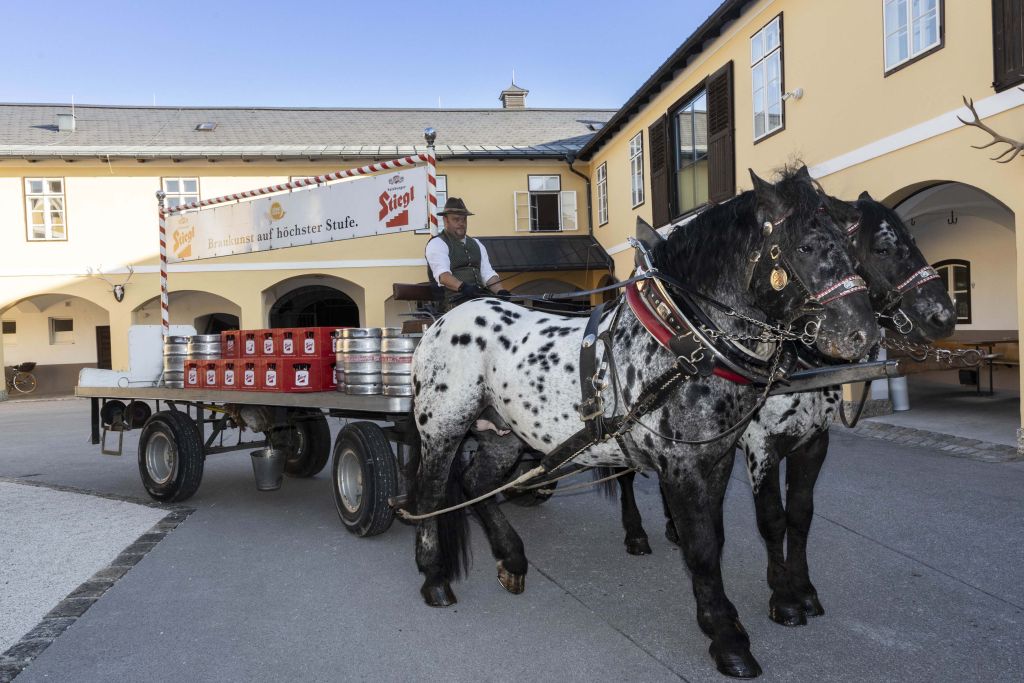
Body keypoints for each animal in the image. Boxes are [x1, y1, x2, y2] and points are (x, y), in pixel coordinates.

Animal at [407, 165, 880, 679]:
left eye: (849, 243)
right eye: (806, 247)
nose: (864, 333)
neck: (682, 343)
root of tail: (443, 320)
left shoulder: (717, 458)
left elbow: (713, 537)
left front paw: (725, 618)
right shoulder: (685, 465)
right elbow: (701, 546)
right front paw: (728, 638)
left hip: (505, 432)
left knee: (477, 482)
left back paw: (511, 558)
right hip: (443, 425)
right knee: (432, 492)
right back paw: (434, 577)